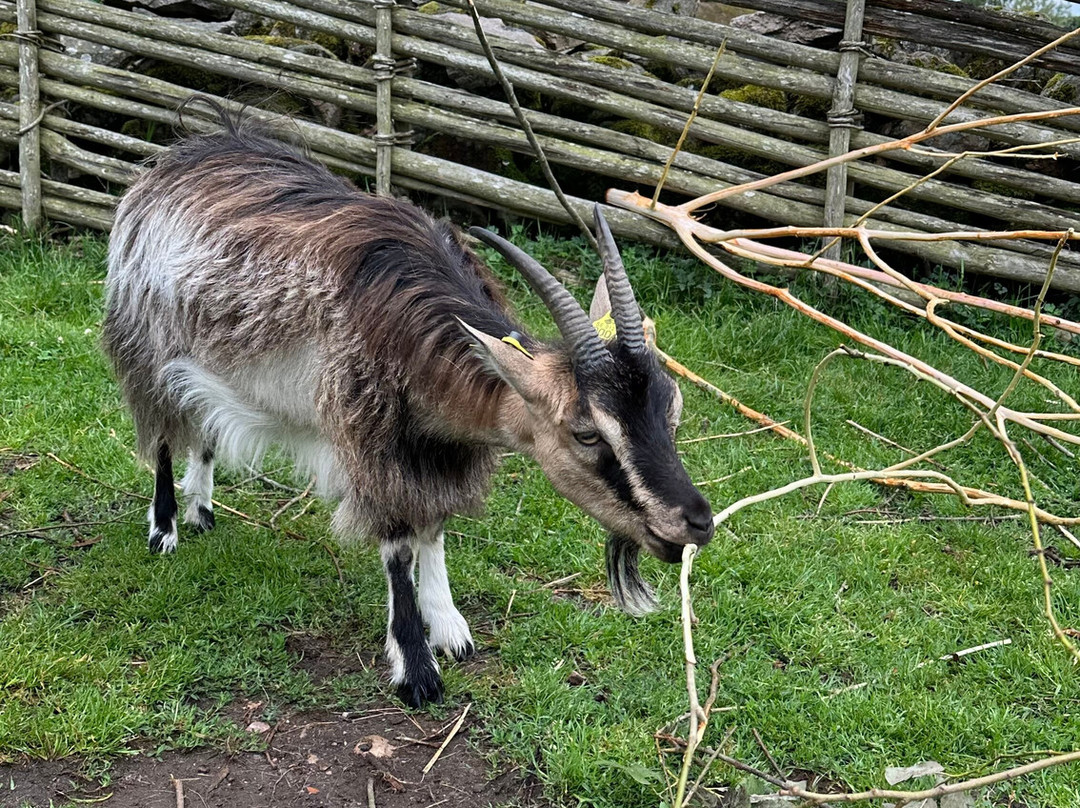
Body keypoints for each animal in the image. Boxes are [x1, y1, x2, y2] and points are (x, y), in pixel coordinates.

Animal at [102, 116, 714, 707]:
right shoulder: (372, 436)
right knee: (162, 431)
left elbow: (434, 528)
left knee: (202, 420)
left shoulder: (436, 445)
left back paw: (202, 507)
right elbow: (397, 544)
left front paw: (451, 628)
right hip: (145, 341)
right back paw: (165, 528)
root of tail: (181, 157)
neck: (414, 334)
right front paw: (417, 670)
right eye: (587, 434)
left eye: (672, 411)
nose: (696, 523)